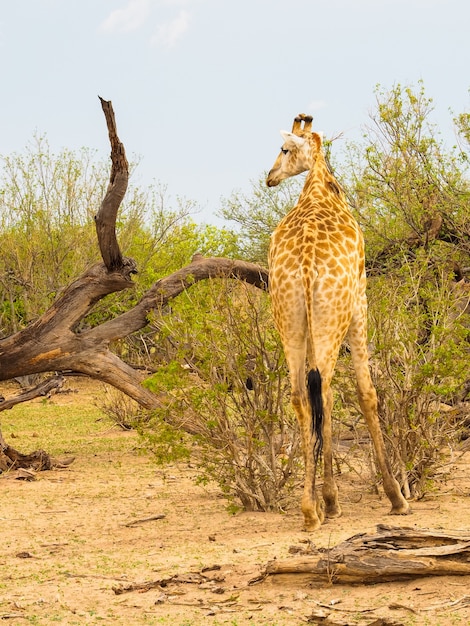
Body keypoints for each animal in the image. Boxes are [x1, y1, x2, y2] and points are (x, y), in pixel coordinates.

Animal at [266, 114, 410, 528]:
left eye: (284, 149)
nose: (269, 177)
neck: (319, 189)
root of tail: (305, 264)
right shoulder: (360, 301)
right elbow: (367, 392)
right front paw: (396, 497)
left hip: (288, 316)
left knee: (301, 395)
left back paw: (310, 509)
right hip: (333, 316)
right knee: (326, 390)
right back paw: (328, 502)